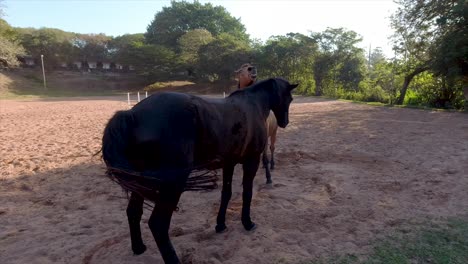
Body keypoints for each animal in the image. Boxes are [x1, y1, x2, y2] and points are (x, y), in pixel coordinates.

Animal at [102, 77, 298, 262]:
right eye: (290, 98)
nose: (285, 122)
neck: (253, 105)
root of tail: (131, 114)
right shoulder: (251, 161)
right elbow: (247, 193)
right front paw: (247, 223)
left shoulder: (229, 163)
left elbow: (226, 194)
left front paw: (220, 225)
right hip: (172, 184)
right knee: (158, 224)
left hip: (141, 183)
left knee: (133, 212)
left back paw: (139, 248)